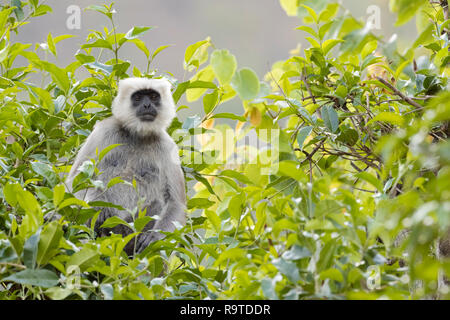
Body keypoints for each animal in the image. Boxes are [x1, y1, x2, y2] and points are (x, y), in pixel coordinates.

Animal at [66, 77, 185, 255]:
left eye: (153, 96)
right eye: (138, 97)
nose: (147, 105)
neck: (137, 136)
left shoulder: (167, 146)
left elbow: (176, 203)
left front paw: (154, 238)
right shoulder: (104, 131)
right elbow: (74, 182)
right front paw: (100, 206)